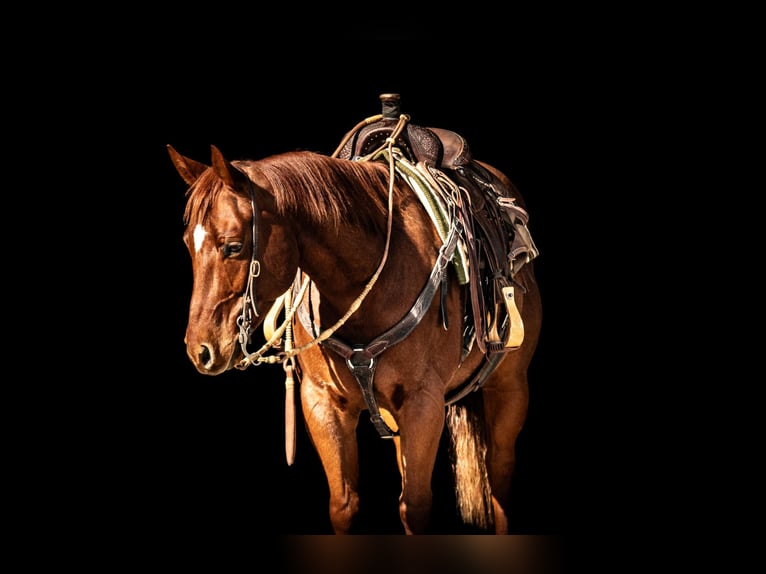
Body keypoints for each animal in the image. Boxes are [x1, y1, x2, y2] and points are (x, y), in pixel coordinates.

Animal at [168, 95, 544, 536]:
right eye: (188, 244)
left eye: (233, 246)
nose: (201, 350)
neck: (367, 282)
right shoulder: (323, 403)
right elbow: (345, 504)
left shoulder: (423, 404)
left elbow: (416, 506)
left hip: (510, 386)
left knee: (499, 476)